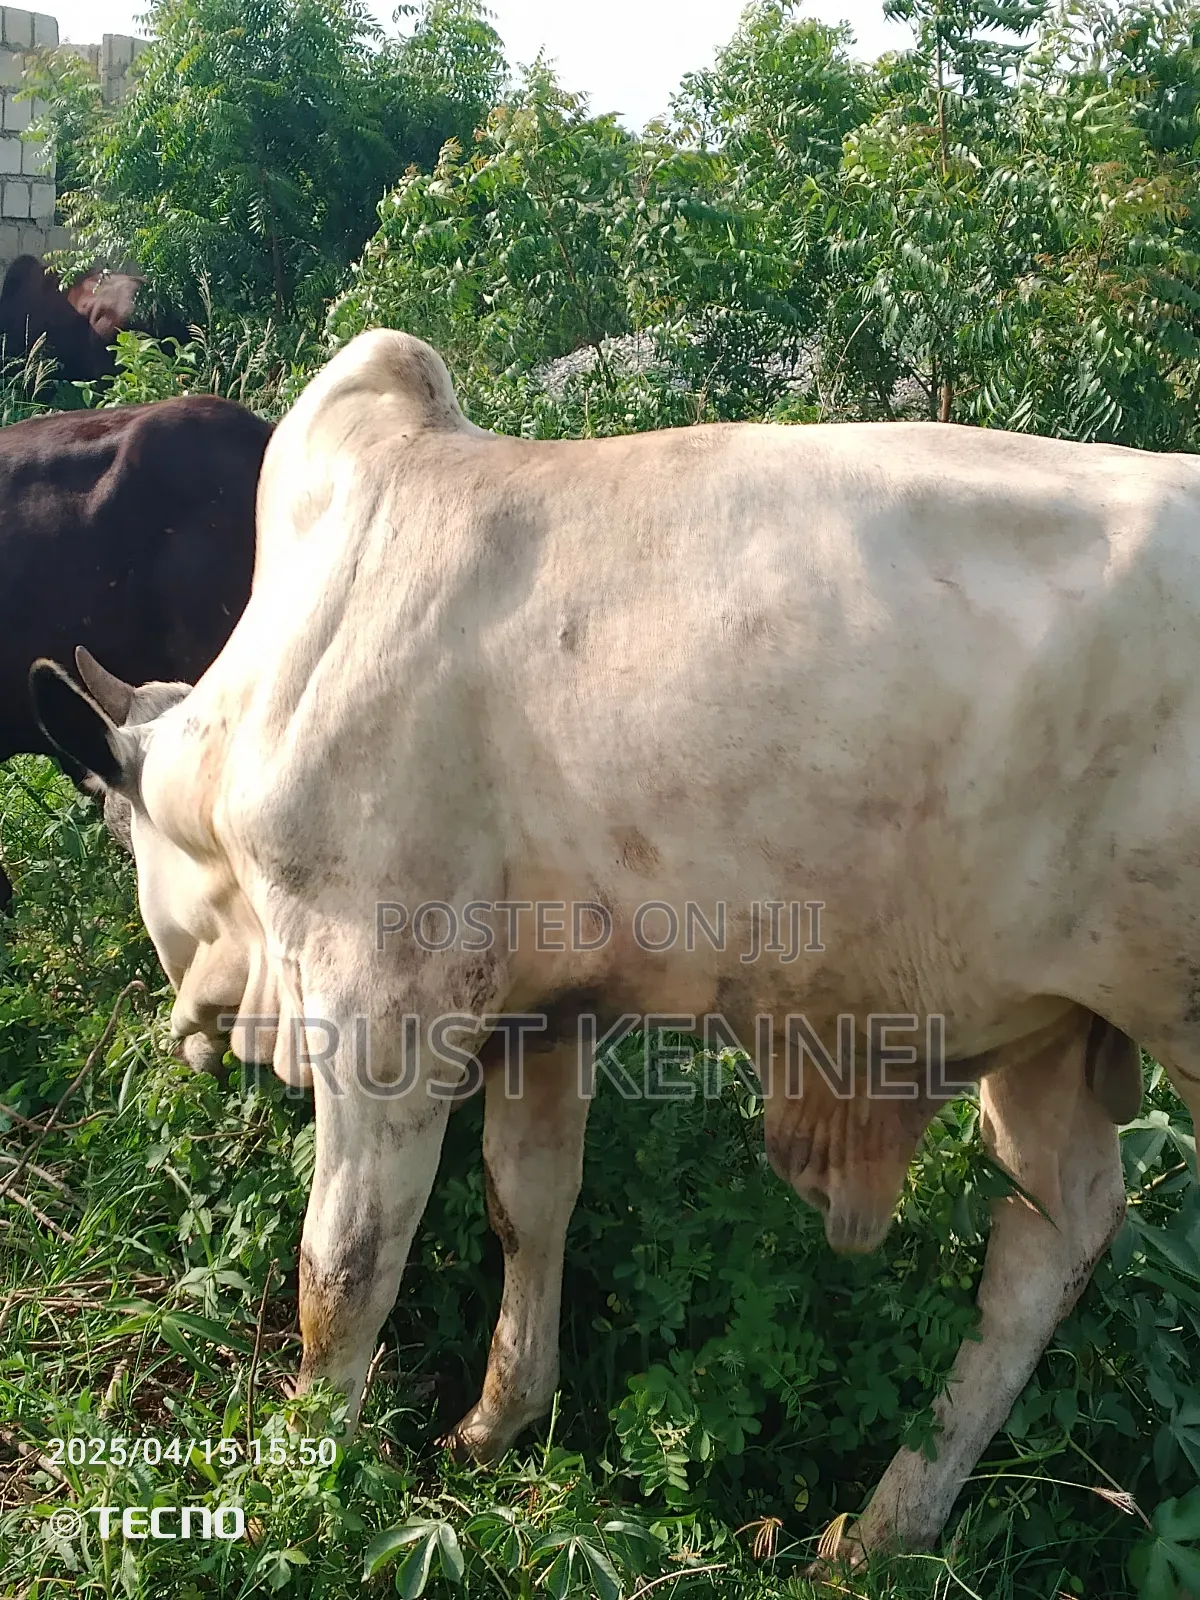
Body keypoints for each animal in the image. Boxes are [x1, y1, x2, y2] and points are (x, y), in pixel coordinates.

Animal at [28, 329, 1200, 1561]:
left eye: (115, 827)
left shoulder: (381, 1013)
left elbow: (344, 1267)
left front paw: (311, 1479)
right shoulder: (545, 1016)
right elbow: (529, 1199)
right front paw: (497, 1421)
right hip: (1053, 1034)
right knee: (1048, 1245)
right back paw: (884, 1531)